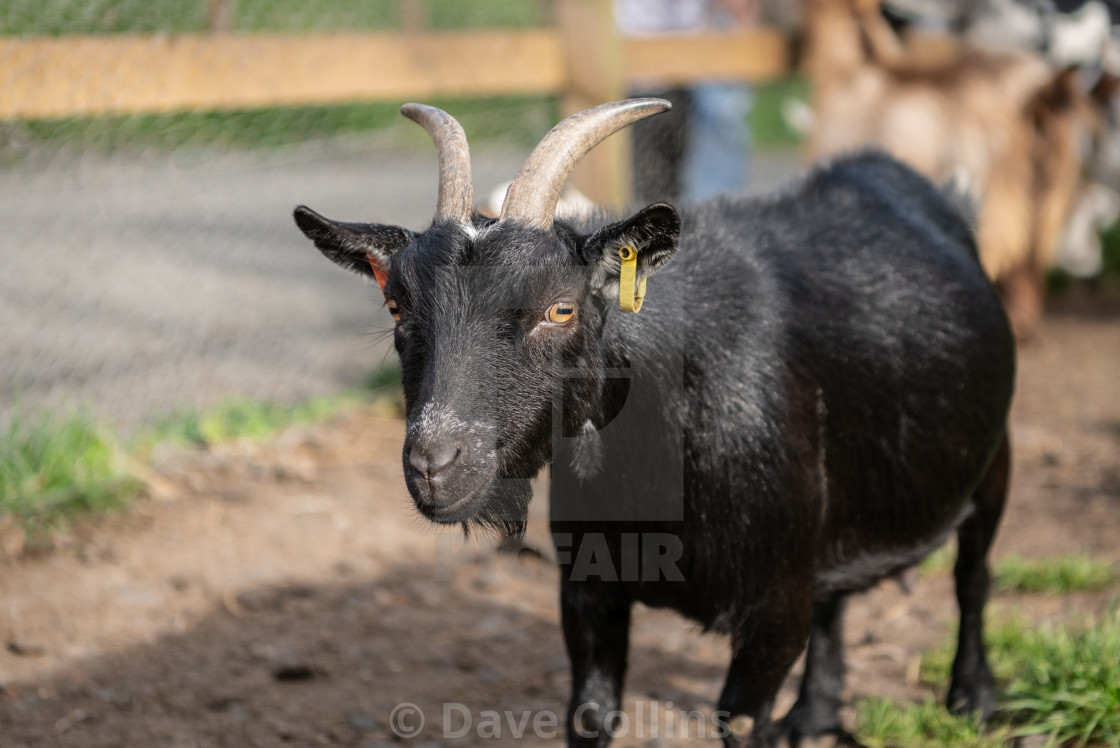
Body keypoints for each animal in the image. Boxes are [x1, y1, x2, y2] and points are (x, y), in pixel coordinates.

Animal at [295, 100, 1016, 748]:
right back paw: (814, 716)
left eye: (560, 308)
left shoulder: (773, 604)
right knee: (837, 596)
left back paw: (973, 699)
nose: (435, 464)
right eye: (395, 305)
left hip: (993, 455)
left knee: (973, 575)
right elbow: (589, 716)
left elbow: (743, 721)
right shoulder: (588, 588)